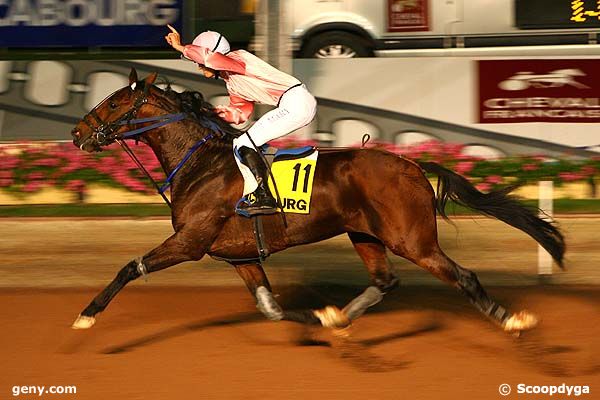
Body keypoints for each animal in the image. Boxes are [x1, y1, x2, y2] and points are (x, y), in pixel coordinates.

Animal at [69, 69, 564, 334]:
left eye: (113, 103)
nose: (77, 132)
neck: (200, 162)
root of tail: (413, 165)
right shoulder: (239, 255)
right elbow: (270, 308)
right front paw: (319, 316)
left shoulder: (191, 241)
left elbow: (130, 267)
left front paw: (87, 315)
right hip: (365, 234)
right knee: (385, 281)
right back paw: (340, 317)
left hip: (413, 240)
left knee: (463, 276)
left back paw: (512, 320)